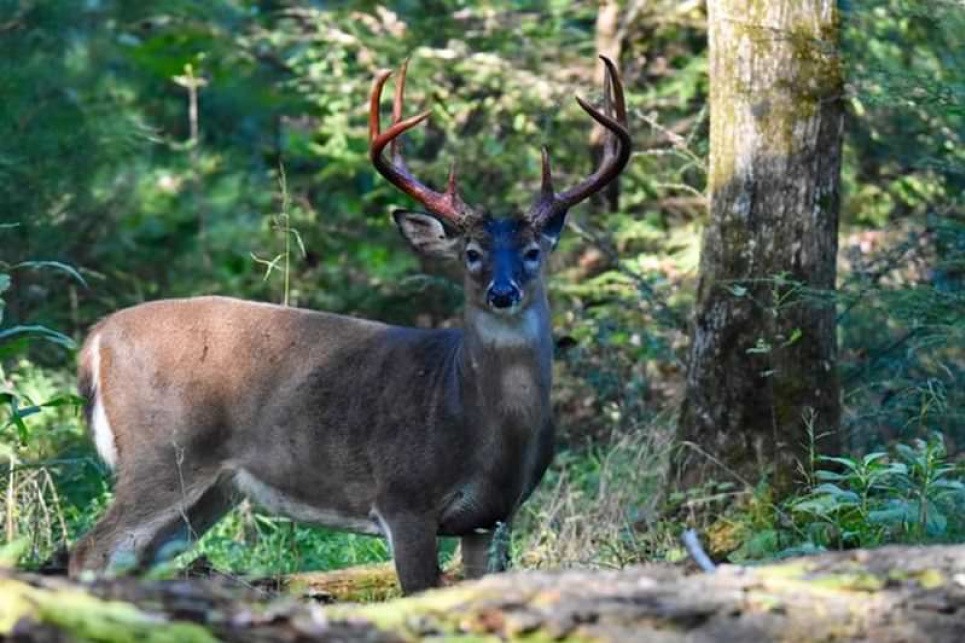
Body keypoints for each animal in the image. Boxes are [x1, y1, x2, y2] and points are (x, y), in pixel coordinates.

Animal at [73, 56, 632, 592]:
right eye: (471, 253)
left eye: (534, 251)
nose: (502, 293)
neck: (481, 423)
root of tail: (97, 338)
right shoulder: (403, 497)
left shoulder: (494, 517)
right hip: (162, 453)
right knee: (89, 552)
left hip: (213, 489)